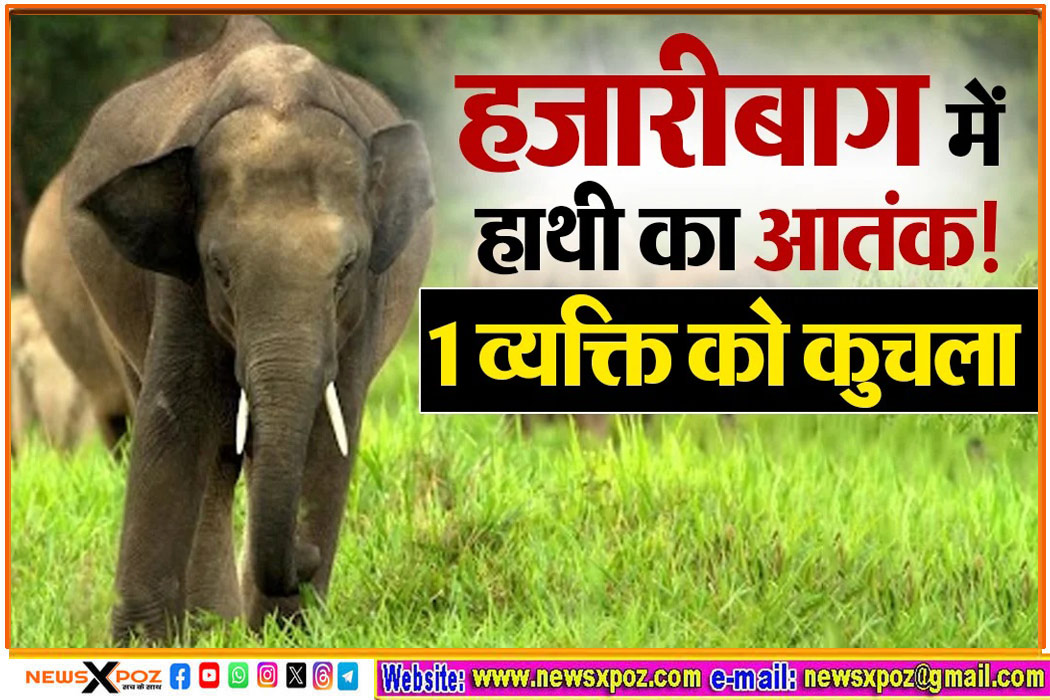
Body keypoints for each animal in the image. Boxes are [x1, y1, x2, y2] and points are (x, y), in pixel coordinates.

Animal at [40, 16, 434, 643]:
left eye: (345, 269)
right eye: (220, 270)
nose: (306, 558)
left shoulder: (364, 306)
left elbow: (329, 439)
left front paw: (285, 638)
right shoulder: (182, 282)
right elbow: (172, 423)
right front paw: (143, 647)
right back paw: (209, 630)